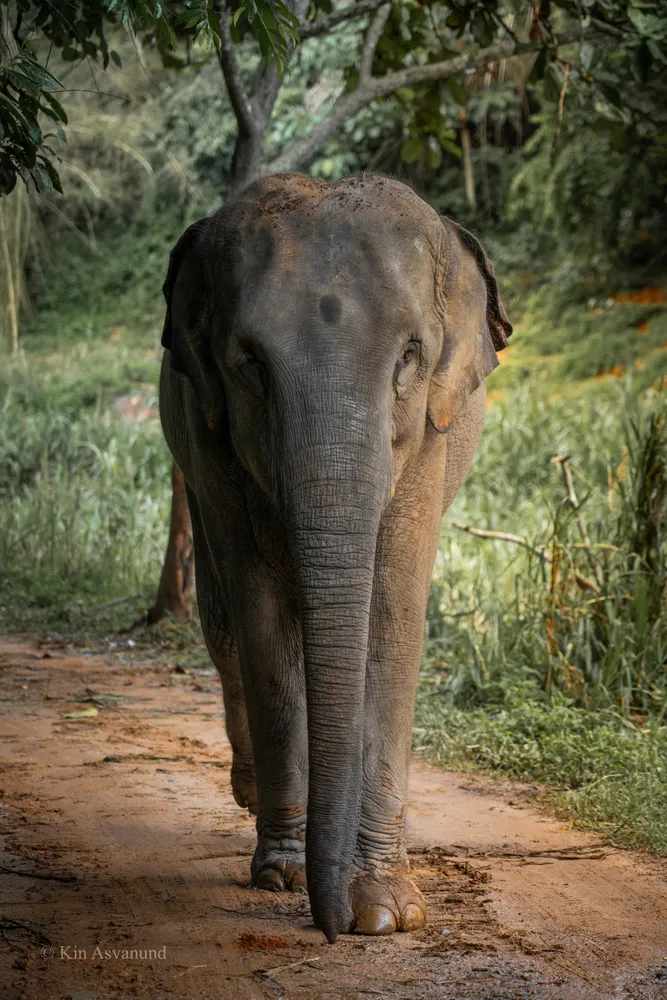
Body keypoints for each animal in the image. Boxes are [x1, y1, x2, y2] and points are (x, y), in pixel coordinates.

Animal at [158, 172, 511, 944]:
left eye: (409, 356)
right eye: (250, 364)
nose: (329, 928)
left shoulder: (430, 439)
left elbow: (394, 616)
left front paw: (384, 912)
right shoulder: (211, 438)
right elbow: (262, 617)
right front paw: (284, 875)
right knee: (224, 622)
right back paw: (249, 792)